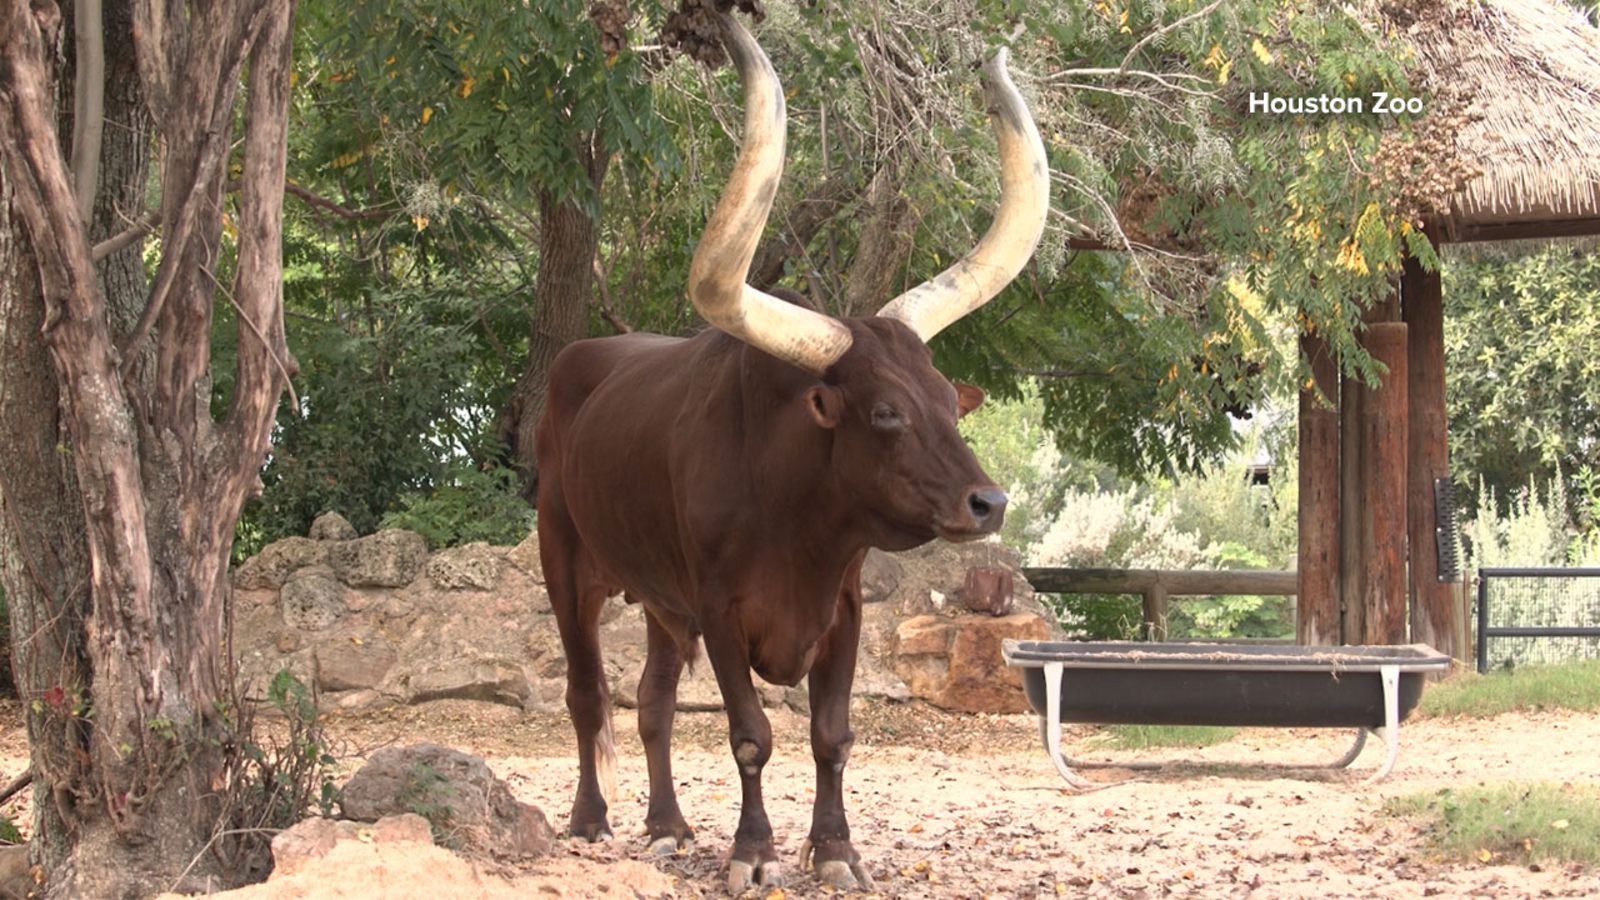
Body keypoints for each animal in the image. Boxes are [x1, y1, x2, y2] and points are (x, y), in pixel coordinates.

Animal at [534, 9, 1049, 892]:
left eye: (950, 402)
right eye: (885, 412)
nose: (988, 503)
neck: (795, 523)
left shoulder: (839, 611)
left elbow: (831, 736)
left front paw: (836, 850)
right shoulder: (719, 611)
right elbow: (750, 735)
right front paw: (753, 852)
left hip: (661, 602)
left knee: (652, 700)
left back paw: (667, 827)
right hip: (567, 566)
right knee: (588, 694)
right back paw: (592, 819)